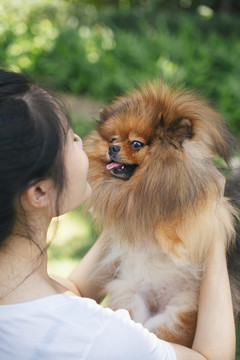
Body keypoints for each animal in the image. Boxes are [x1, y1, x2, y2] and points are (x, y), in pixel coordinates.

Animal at [84, 81, 240, 346]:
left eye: (136, 144)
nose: (112, 148)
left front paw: (174, 246)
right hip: (133, 302)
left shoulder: (215, 206)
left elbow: (172, 219)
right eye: (113, 138)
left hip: (175, 315)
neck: (145, 182)